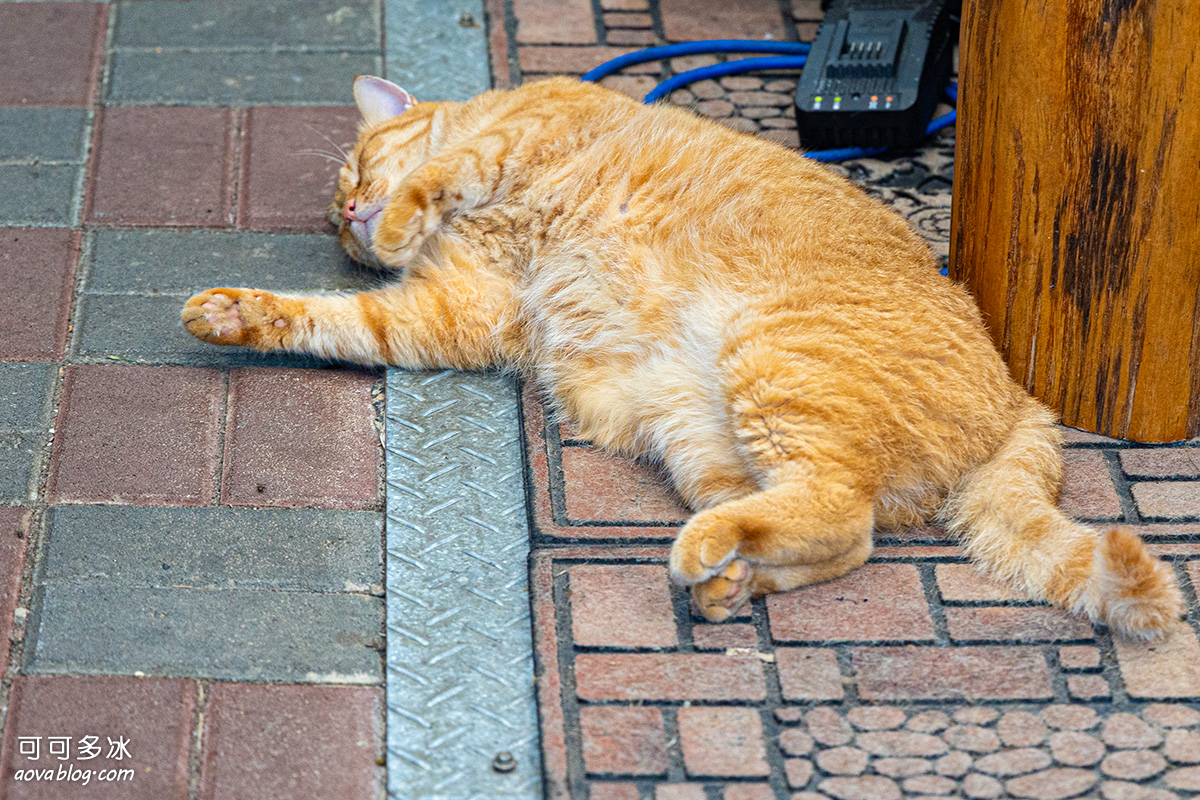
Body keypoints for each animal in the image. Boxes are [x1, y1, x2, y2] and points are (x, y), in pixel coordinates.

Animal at [184, 74, 1180, 638]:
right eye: (332, 212)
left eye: (355, 173)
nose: (350, 216)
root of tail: (1020, 398)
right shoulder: (447, 311)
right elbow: (335, 322)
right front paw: (238, 314)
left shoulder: (517, 135)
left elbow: (443, 168)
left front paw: (398, 217)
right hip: (705, 438)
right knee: (840, 535)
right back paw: (727, 583)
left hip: (773, 367)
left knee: (841, 514)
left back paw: (708, 563)